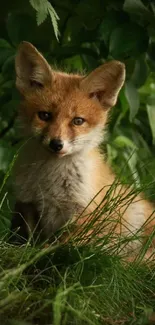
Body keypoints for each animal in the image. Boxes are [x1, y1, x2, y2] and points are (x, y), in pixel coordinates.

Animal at [10, 40, 154, 258]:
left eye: (78, 121)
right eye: (44, 115)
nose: (56, 144)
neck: (49, 182)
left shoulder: (84, 215)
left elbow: (59, 247)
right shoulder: (27, 204)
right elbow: (25, 240)